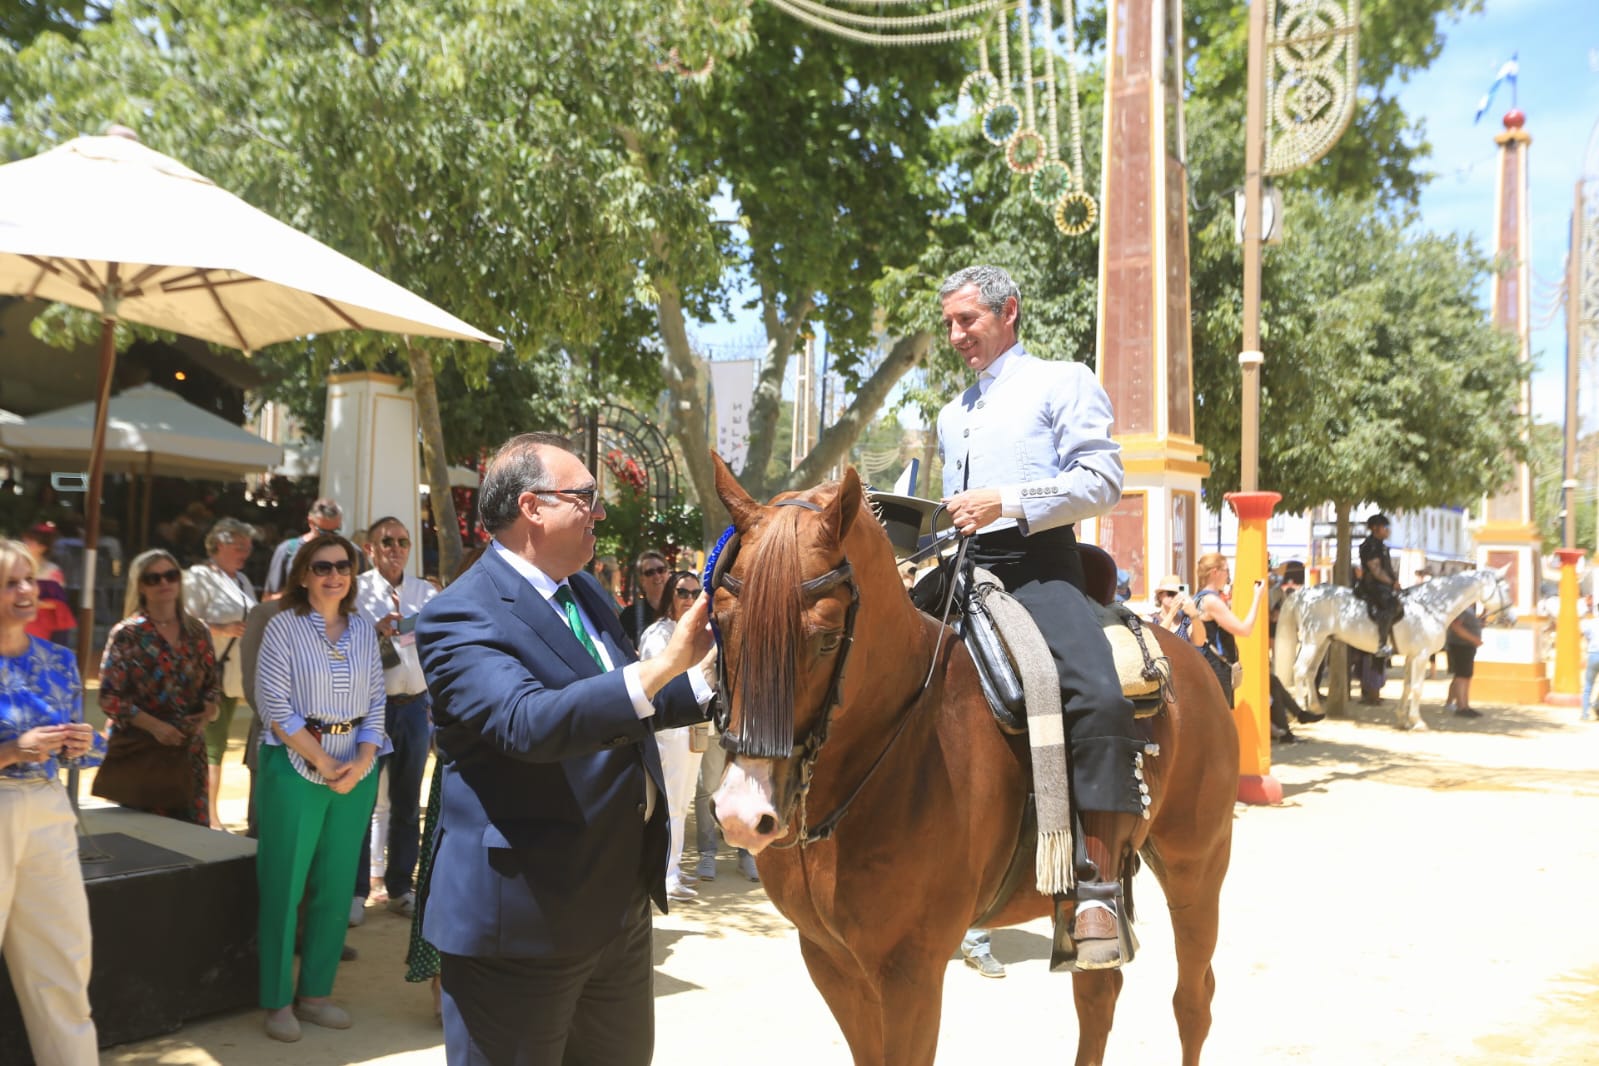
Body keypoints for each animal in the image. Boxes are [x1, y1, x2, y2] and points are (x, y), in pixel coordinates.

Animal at [706, 460, 1240, 1066]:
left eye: (824, 638)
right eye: (721, 621)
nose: (742, 814)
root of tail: (1194, 660)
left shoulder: (910, 970)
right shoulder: (829, 960)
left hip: (1197, 869)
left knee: (1193, 1000)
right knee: (1099, 995)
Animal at [1266, 565, 1515, 735]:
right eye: (1505, 588)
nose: (1513, 619)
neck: (1431, 606)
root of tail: (1304, 593)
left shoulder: (1412, 656)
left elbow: (1407, 687)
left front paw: (1402, 719)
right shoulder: (1422, 655)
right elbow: (1417, 689)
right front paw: (1418, 722)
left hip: (1323, 642)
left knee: (1310, 672)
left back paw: (1315, 708)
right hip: (1312, 640)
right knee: (1299, 670)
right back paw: (1300, 711)